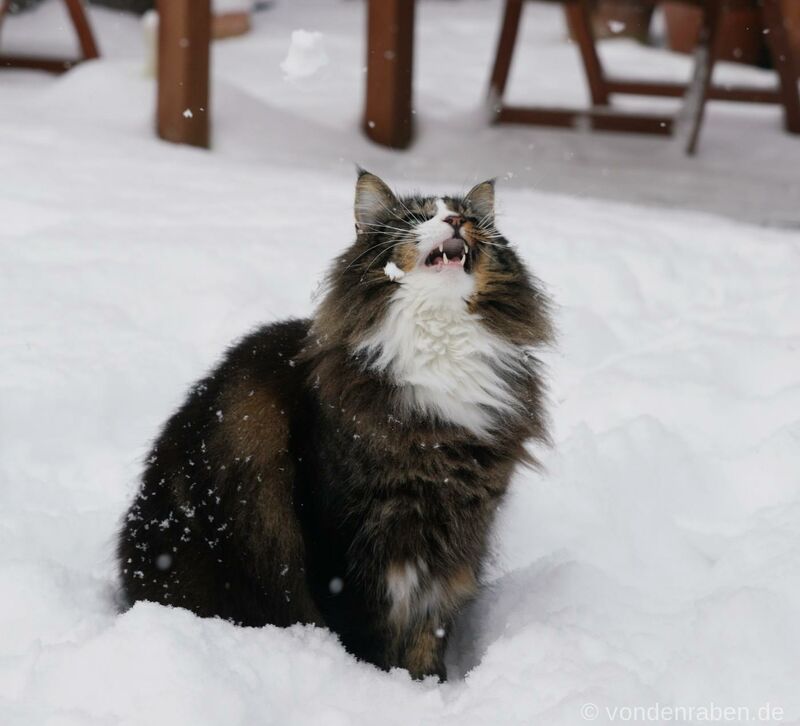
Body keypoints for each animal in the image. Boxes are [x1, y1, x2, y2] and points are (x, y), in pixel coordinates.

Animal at [119, 172, 552, 684]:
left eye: (471, 217)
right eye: (419, 217)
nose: (457, 222)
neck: (442, 350)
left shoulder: (456, 531)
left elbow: (429, 630)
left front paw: (428, 686)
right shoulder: (347, 535)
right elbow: (368, 630)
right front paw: (385, 685)